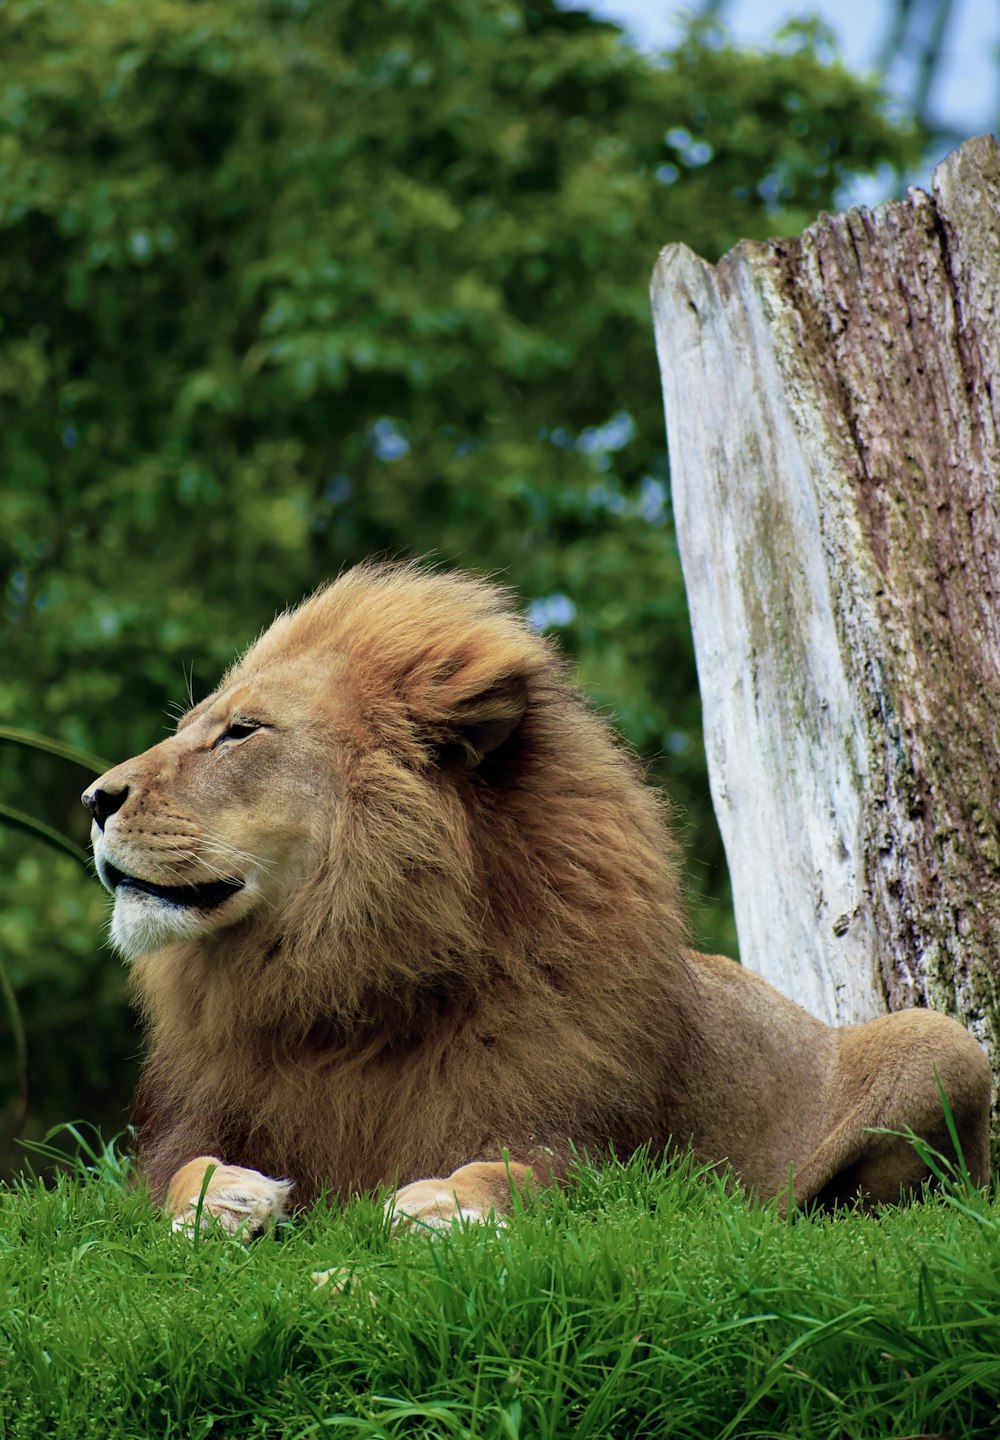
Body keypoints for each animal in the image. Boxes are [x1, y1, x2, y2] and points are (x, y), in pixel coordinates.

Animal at [82, 555, 991, 1232]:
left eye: (242, 732)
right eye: (193, 726)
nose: (93, 799)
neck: (341, 981)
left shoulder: (597, 1146)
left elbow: (533, 1174)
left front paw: (447, 1203)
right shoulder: (185, 1127)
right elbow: (179, 1174)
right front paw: (222, 1199)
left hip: (942, 1041)